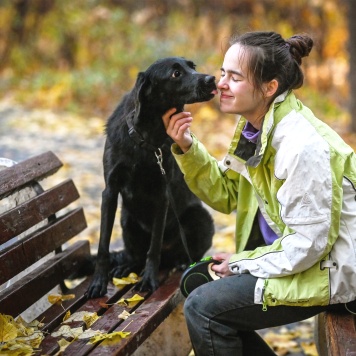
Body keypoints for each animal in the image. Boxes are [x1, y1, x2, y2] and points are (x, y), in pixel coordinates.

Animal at [87, 57, 216, 298]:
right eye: (176, 73)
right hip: (126, 219)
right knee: (134, 255)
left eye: (192, 66)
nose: (211, 79)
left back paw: (182, 262)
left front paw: (148, 280)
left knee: (179, 254)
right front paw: (98, 282)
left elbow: (153, 247)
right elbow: (103, 245)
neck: (147, 138)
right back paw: (126, 266)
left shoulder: (162, 195)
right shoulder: (110, 191)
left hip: (200, 218)